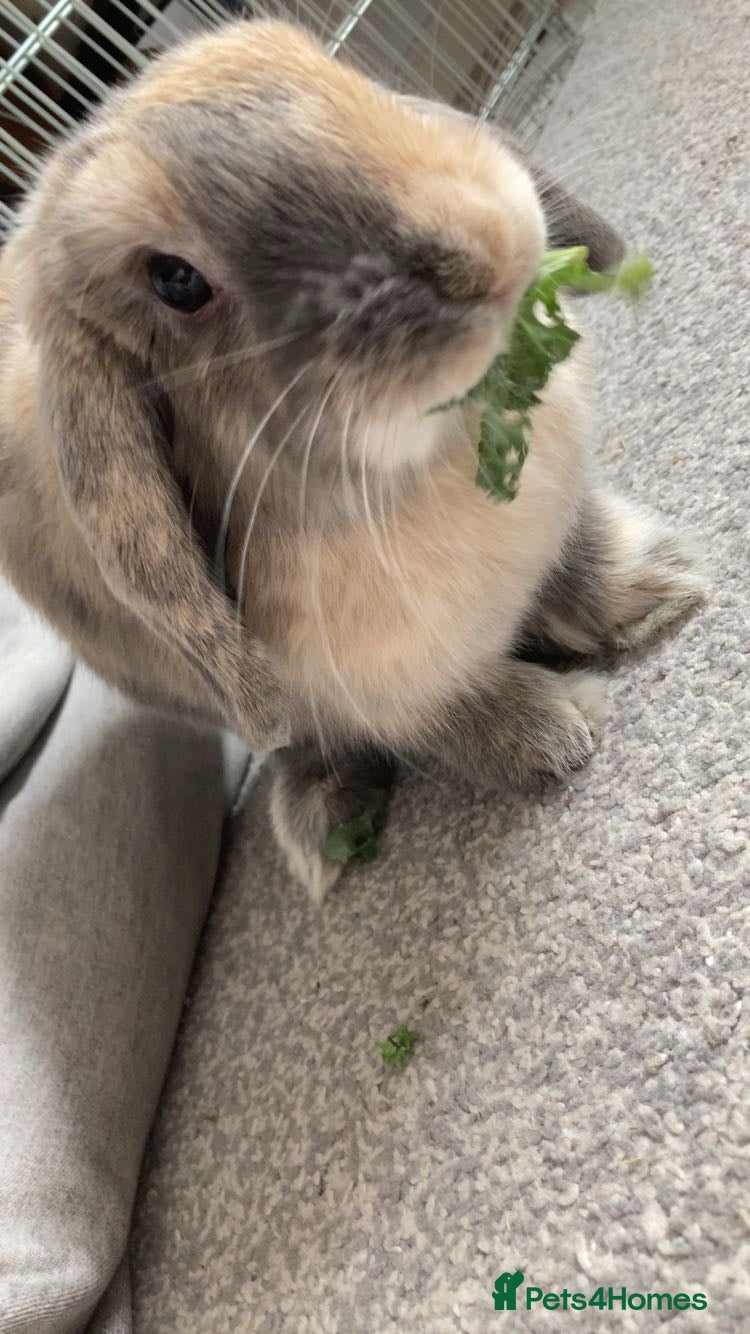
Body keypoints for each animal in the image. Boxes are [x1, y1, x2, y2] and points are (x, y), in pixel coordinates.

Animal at [0, 19, 706, 901]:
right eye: (175, 281)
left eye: (329, 69)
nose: (479, 247)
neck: (429, 456)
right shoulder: (375, 687)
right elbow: (448, 718)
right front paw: (559, 731)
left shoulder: (557, 518)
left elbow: (577, 560)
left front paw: (660, 588)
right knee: (297, 745)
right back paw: (324, 822)